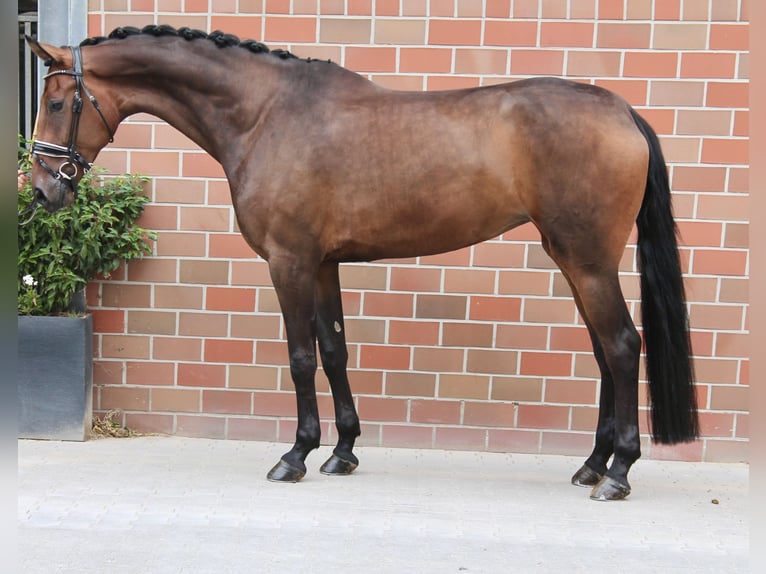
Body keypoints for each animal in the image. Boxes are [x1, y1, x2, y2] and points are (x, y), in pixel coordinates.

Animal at [26, 25, 698, 501]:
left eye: (57, 102)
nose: (42, 191)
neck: (265, 115)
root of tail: (622, 111)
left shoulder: (289, 262)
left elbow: (300, 358)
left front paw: (295, 455)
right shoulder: (324, 263)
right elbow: (333, 350)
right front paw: (342, 451)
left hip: (589, 261)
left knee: (622, 346)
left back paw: (618, 473)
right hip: (573, 258)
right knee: (605, 354)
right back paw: (591, 466)